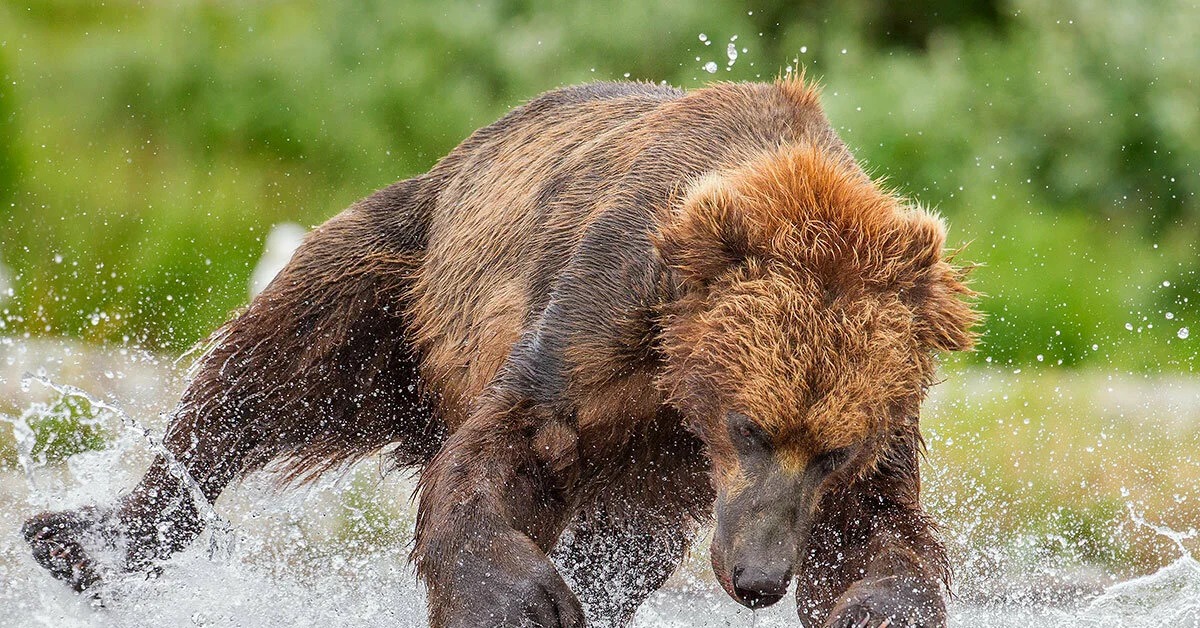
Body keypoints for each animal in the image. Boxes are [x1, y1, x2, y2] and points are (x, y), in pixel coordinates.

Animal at [23, 78, 979, 628]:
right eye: (750, 425)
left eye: (834, 450)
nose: (758, 576)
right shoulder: (604, 312)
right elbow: (513, 444)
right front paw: (523, 599)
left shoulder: (876, 419)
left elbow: (876, 530)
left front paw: (877, 610)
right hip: (403, 283)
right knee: (265, 375)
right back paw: (83, 538)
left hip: (637, 474)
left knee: (627, 544)